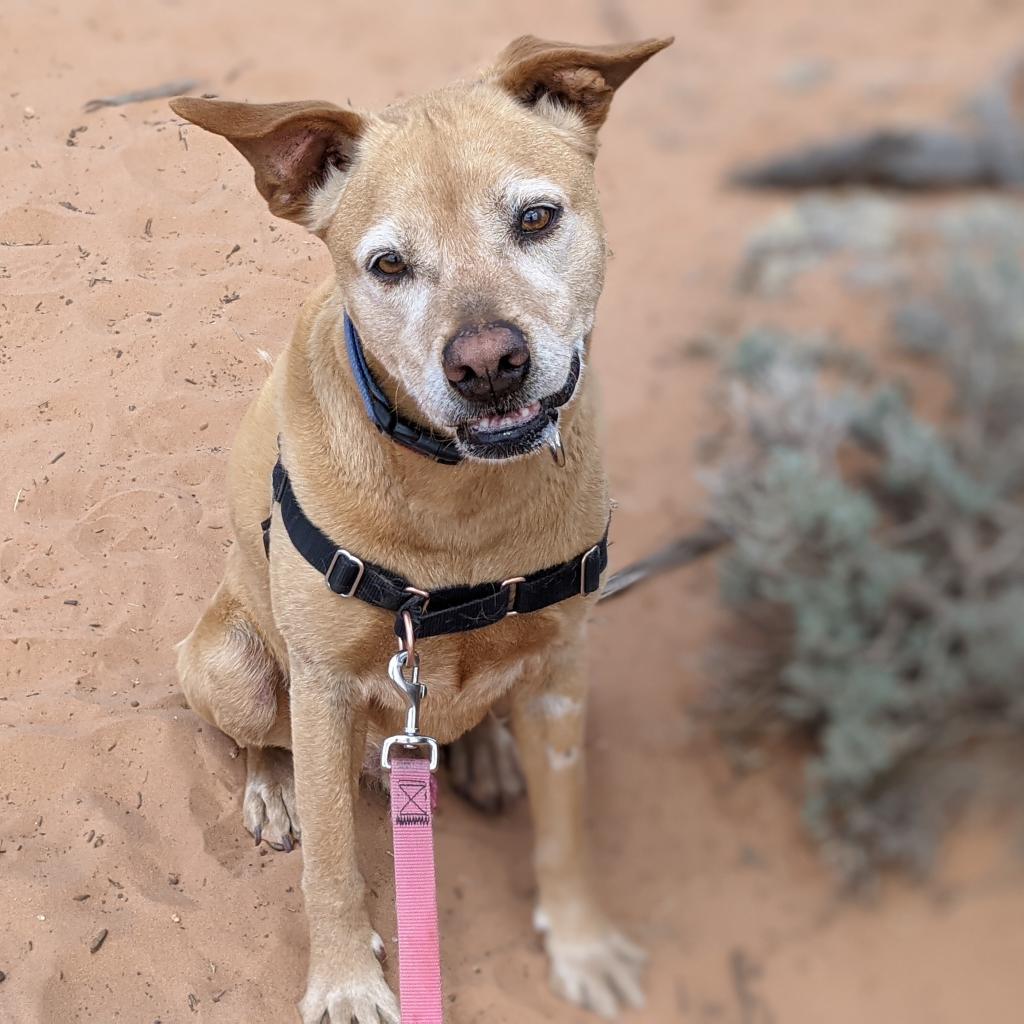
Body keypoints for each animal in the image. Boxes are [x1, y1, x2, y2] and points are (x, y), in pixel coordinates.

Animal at [171, 36, 671, 1019]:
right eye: (389, 266)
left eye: (536, 218)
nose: (488, 365)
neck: (462, 510)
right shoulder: (324, 688)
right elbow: (332, 866)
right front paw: (344, 982)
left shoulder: (563, 672)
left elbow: (567, 831)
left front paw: (583, 945)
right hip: (230, 666)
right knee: (259, 739)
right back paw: (274, 791)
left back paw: (487, 758)